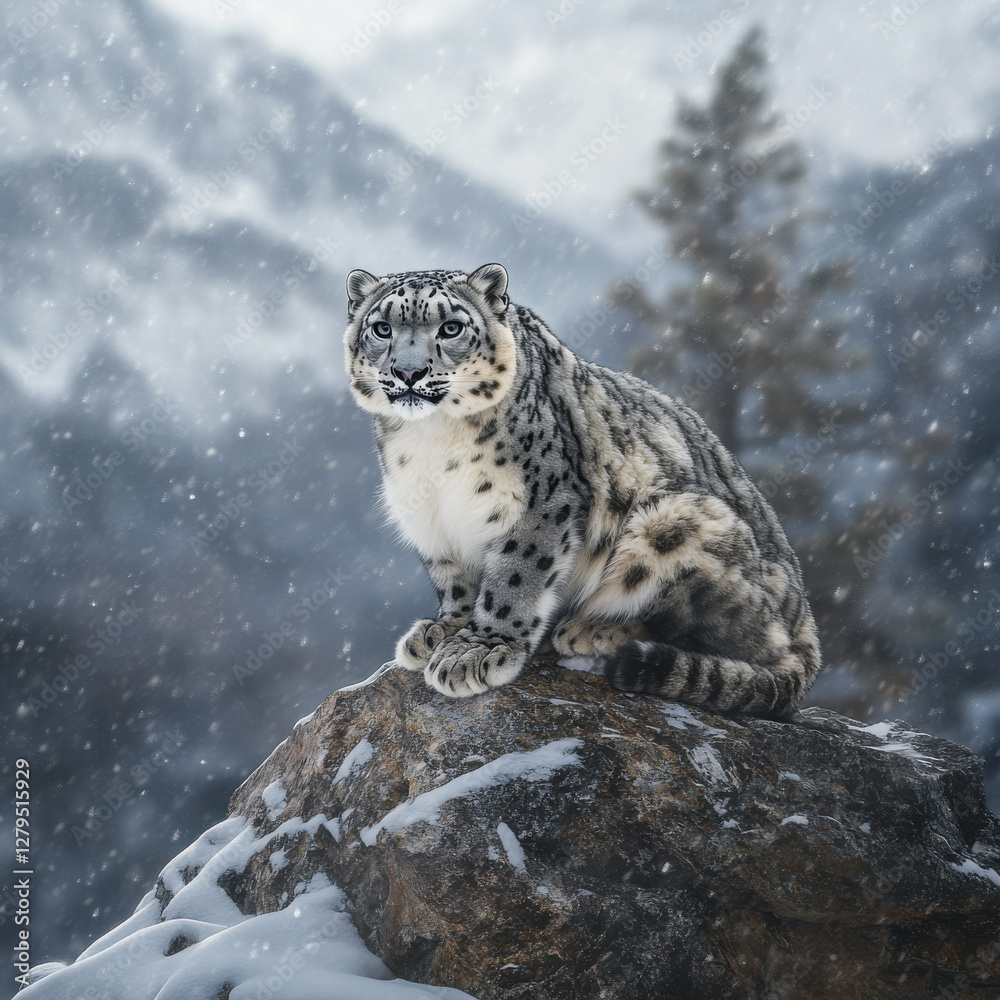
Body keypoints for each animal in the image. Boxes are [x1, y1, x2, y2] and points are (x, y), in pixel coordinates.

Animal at [344, 263, 821, 716]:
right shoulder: (430, 518)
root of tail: (805, 618)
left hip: (676, 521)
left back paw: (592, 630)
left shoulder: (541, 500)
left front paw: (478, 649)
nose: (408, 372)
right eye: (382, 328)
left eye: (451, 327)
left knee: (734, 643)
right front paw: (443, 629)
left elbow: (515, 576)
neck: (431, 444)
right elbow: (453, 580)